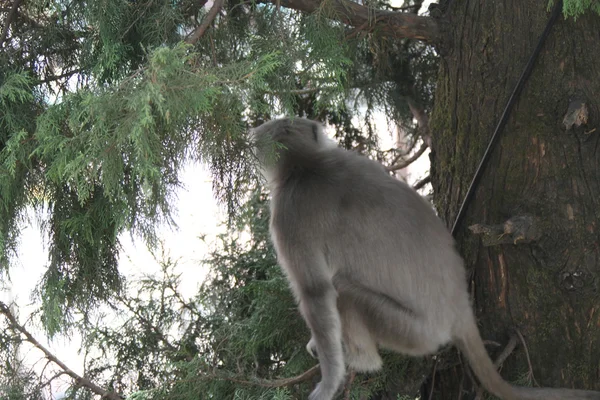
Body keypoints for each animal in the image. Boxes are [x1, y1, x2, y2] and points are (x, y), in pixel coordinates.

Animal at [250, 117, 600, 400]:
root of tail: (459, 307)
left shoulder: (287, 213)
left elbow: (315, 291)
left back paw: (361, 360)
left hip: (415, 332)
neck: (305, 165)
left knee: (343, 293)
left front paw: (328, 382)